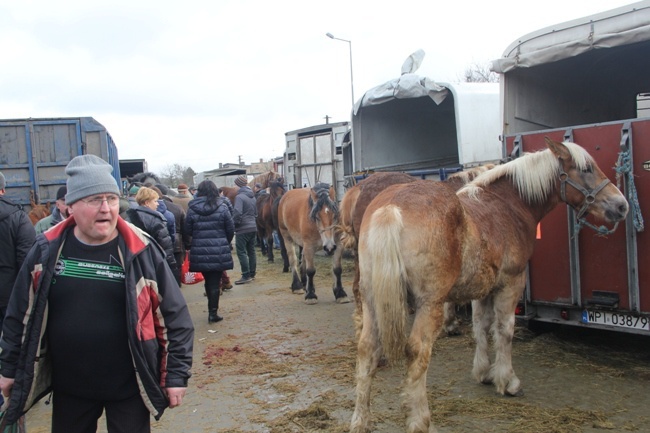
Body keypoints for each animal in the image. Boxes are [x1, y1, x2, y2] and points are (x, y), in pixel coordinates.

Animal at [350, 139, 628, 432]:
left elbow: (481, 326)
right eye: (586, 169)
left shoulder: (482, 289)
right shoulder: (511, 283)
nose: (621, 205)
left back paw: (360, 421)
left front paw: (483, 372)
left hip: (373, 301)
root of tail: (390, 208)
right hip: (428, 305)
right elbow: (504, 330)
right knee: (417, 352)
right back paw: (420, 420)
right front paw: (507, 381)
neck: (508, 205)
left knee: (367, 349)